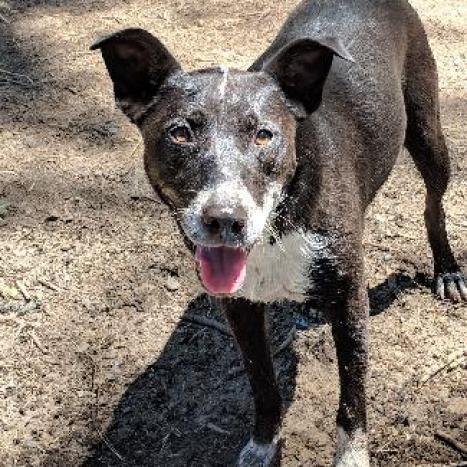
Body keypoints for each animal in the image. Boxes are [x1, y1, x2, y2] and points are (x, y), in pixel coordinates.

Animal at [92, 0, 467, 464]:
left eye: (263, 134)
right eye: (179, 133)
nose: (224, 219)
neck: (277, 225)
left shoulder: (351, 300)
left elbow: (352, 394)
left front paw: (351, 454)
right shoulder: (239, 308)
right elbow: (263, 384)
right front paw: (263, 443)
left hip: (427, 133)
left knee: (433, 205)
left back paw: (447, 270)